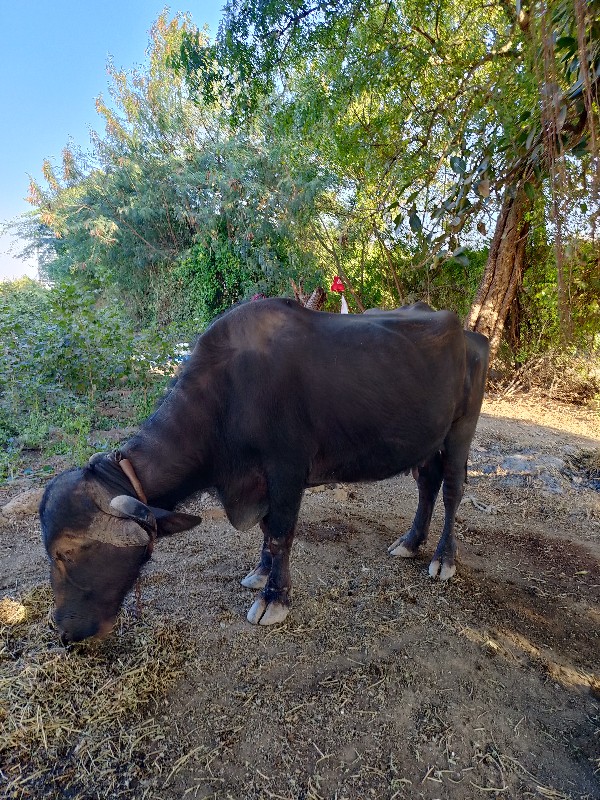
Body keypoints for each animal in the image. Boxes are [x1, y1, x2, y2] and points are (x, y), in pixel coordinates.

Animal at [37, 300, 490, 644]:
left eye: (66, 552)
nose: (62, 630)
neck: (228, 395)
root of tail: (471, 336)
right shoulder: (259, 481)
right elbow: (266, 529)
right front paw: (260, 572)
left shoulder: (287, 471)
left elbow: (280, 533)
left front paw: (275, 598)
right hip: (427, 441)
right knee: (427, 485)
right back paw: (411, 542)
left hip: (461, 430)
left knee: (452, 490)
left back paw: (443, 558)